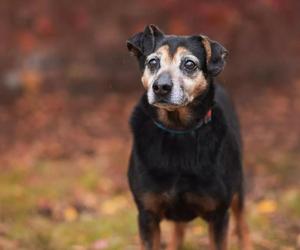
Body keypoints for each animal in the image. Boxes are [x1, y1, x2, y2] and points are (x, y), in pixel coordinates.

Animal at [125, 23, 252, 250]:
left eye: (189, 64)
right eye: (153, 62)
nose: (161, 87)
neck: (178, 130)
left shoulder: (219, 214)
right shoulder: (147, 214)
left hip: (238, 189)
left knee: (242, 221)